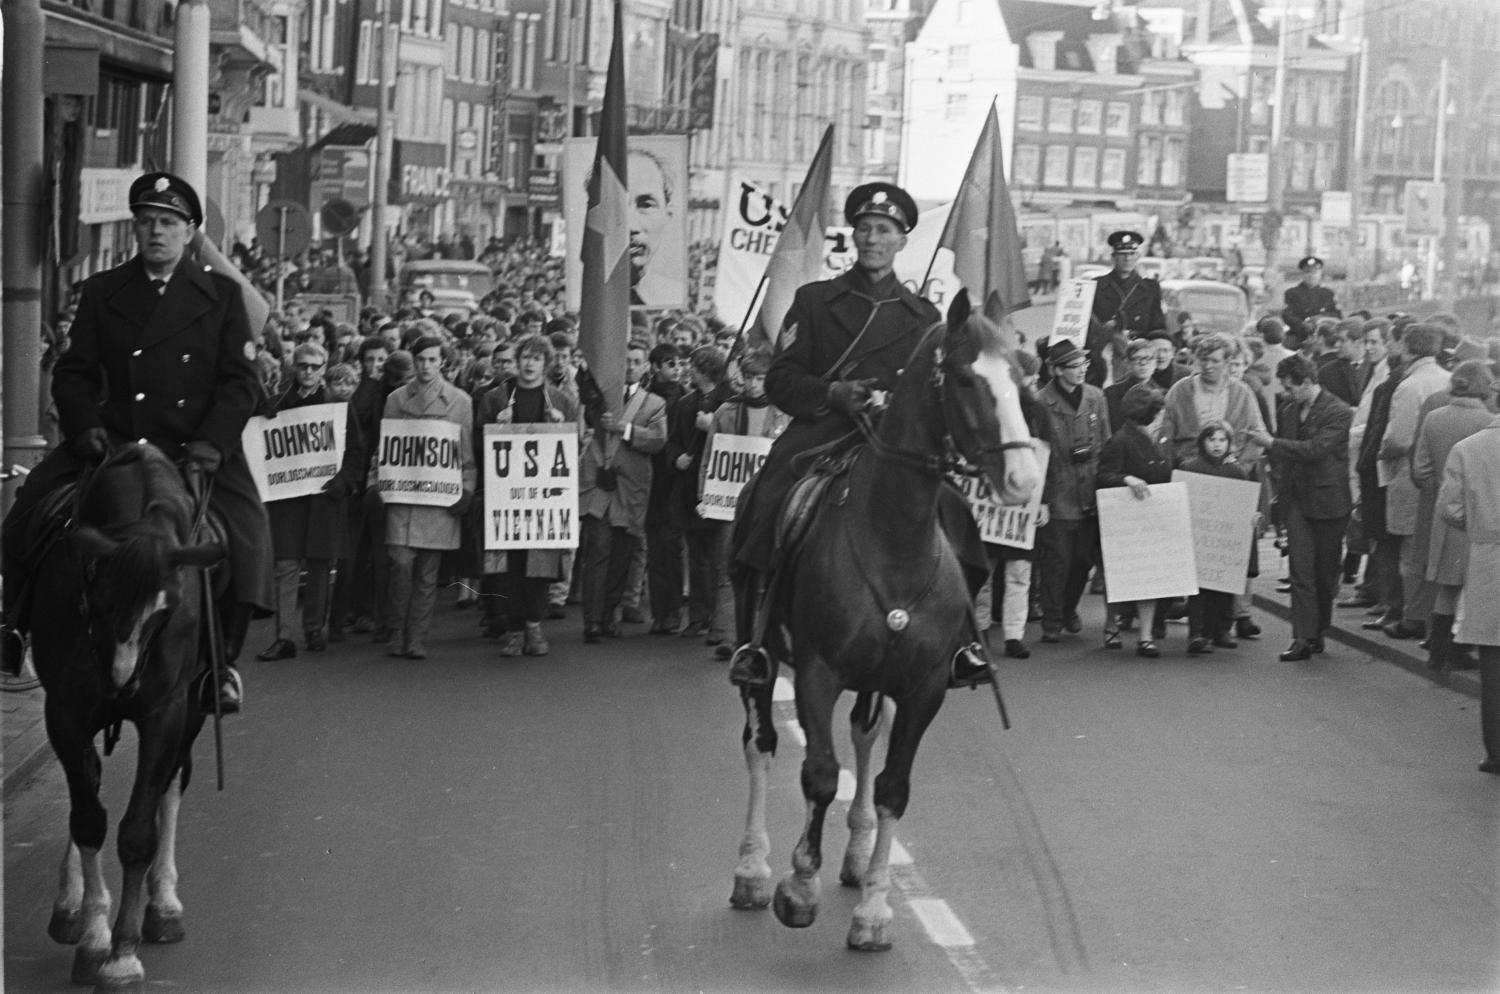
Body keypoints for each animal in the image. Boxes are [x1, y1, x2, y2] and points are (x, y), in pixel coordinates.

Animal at [28, 446, 222, 989]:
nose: (121, 683)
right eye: (97, 597)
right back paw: (70, 906)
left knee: (173, 783)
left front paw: (122, 955)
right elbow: (88, 819)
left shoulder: (165, 714)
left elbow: (138, 832)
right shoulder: (66, 713)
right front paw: (95, 937)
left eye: (166, 610)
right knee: (90, 784)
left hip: (191, 713)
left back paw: (164, 905)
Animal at [729, 299, 1038, 953]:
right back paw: (752, 869)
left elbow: (894, 785)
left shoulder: (923, 687)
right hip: (758, 645)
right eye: (967, 379)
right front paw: (799, 887)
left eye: (1022, 380)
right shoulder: (817, 673)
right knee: (760, 743)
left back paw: (855, 851)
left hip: (878, 677)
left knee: (866, 733)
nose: (1024, 480)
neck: (894, 535)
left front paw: (873, 908)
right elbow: (820, 773)